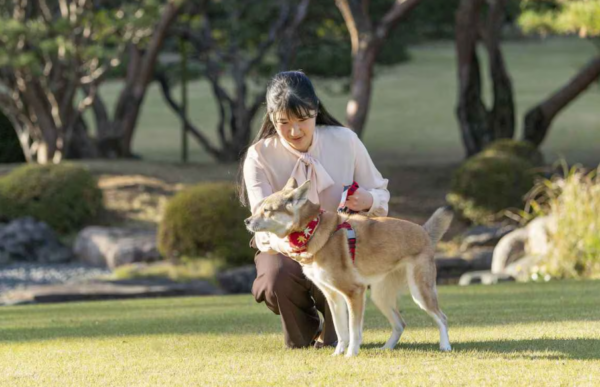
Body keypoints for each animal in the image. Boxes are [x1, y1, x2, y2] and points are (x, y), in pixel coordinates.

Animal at [243, 179, 450, 358]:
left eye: (267, 210)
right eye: (258, 208)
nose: (246, 221)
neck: (313, 230)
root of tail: (424, 231)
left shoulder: (354, 293)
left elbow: (353, 331)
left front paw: (351, 354)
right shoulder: (333, 296)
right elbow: (341, 330)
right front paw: (337, 354)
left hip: (419, 292)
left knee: (442, 318)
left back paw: (445, 346)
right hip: (379, 297)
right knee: (400, 323)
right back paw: (386, 348)